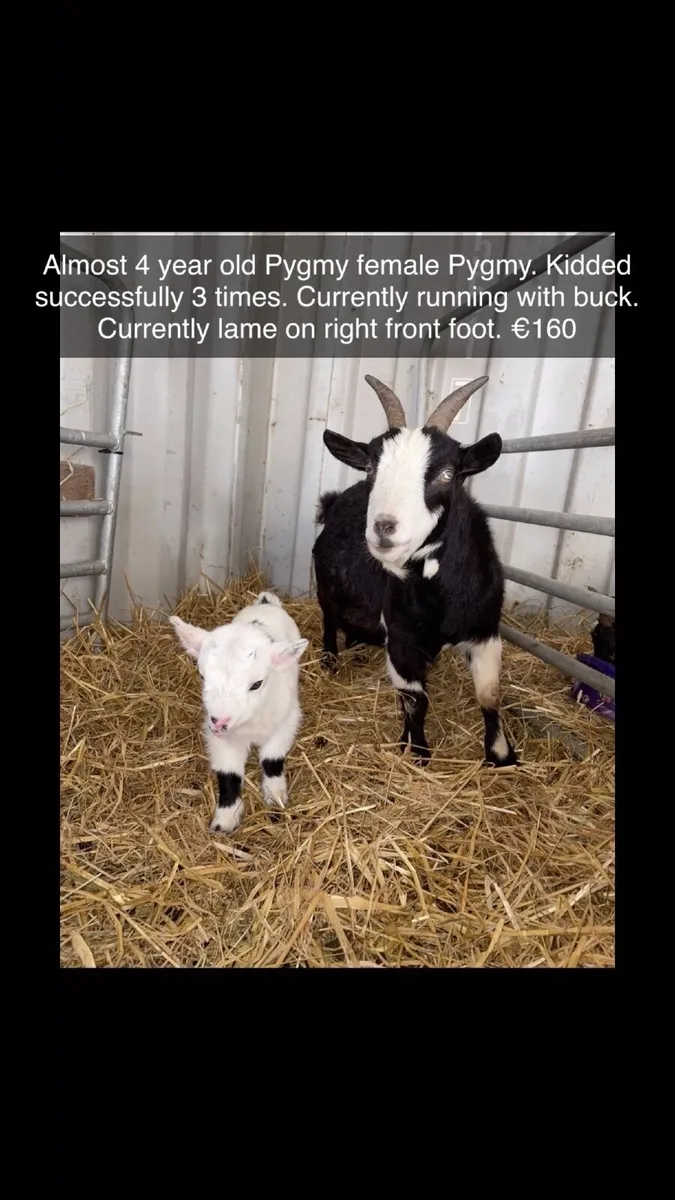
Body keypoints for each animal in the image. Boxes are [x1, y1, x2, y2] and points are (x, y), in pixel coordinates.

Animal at [170, 592, 309, 833]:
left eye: (257, 684)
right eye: (202, 676)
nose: (219, 721)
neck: (249, 725)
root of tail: (265, 603)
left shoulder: (287, 720)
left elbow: (272, 759)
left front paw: (276, 795)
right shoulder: (219, 738)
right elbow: (229, 773)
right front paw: (225, 819)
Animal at [312, 374, 519, 769]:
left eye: (447, 473)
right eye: (371, 468)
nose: (383, 528)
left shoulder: (486, 630)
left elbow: (490, 694)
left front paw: (502, 754)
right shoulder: (401, 637)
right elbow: (416, 699)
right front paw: (417, 750)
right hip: (324, 587)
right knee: (329, 617)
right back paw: (330, 657)